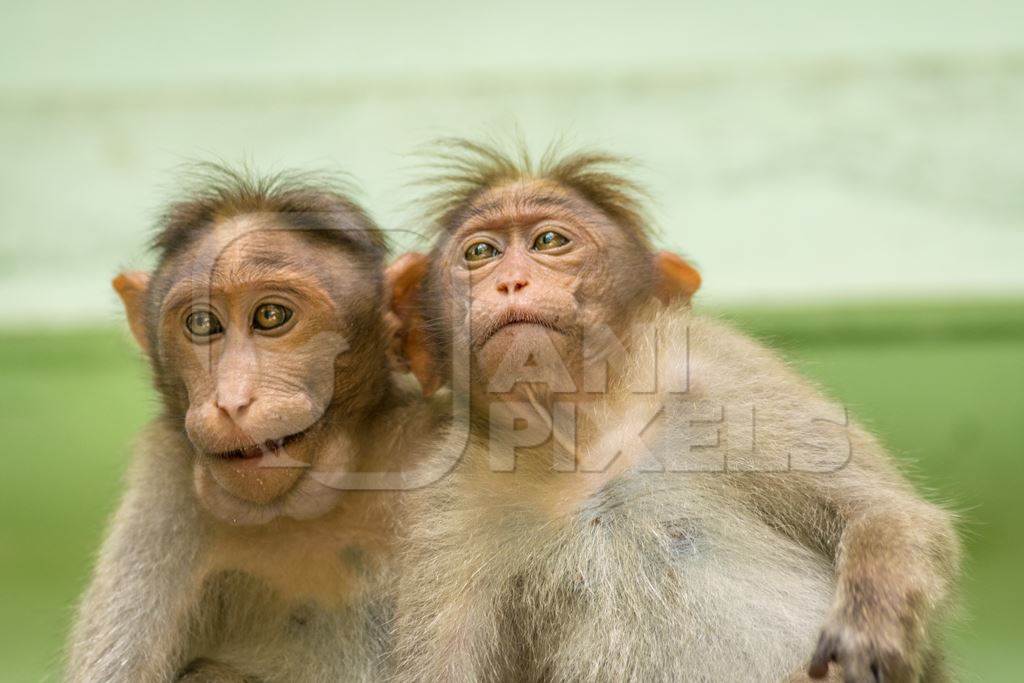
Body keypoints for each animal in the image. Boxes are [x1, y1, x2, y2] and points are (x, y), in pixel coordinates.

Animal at [389, 141, 958, 679]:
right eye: (480, 251)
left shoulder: (724, 374)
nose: (509, 283)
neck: (585, 439)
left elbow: (889, 514)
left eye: (549, 242)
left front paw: (869, 624)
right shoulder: (450, 501)